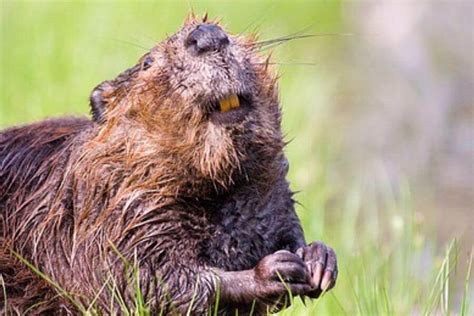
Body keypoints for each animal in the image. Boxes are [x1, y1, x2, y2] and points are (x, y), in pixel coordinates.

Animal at [0, 16, 336, 314]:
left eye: (227, 32)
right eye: (147, 62)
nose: (207, 35)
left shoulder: (271, 192)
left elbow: (286, 226)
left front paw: (319, 258)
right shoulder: (112, 217)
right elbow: (145, 282)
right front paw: (276, 270)